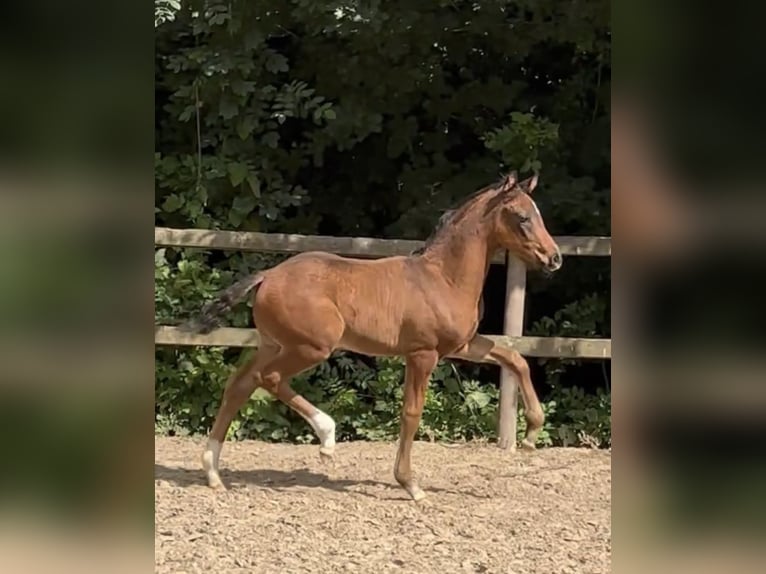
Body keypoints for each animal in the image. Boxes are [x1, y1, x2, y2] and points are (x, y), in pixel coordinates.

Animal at [182, 169, 560, 502]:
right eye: (522, 217)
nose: (554, 258)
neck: (442, 278)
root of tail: (268, 276)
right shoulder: (422, 354)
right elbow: (411, 413)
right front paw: (410, 484)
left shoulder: (461, 345)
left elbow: (515, 359)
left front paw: (532, 434)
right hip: (312, 347)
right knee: (269, 378)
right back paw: (327, 437)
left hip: (272, 344)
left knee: (239, 385)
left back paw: (213, 473)